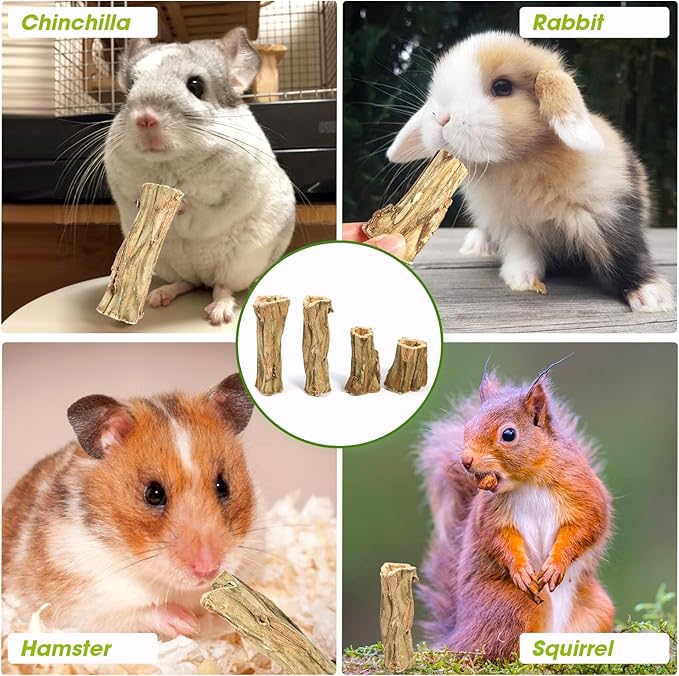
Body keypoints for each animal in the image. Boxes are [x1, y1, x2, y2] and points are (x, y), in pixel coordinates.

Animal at [2, 374, 260, 637]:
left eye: (223, 486)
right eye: (153, 494)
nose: (208, 569)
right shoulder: (83, 603)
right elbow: (140, 613)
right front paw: (187, 624)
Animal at [104, 28, 296, 325]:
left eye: (196, 86)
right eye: (131, 85)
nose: (145, 119)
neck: (169, 162)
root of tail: (203, 275)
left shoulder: (227, 190)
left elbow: (202, 205)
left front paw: (181, 204)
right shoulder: (121, 182)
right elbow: (133, 196)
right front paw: (143, 201)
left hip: (240, 263)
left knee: (222, 287)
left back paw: (219, 313)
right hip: (168, 264)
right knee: (188, 283)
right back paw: (159, 296)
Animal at [387, 31, 673, 312]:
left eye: (502, 87)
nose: (441, 118)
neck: (518, 163)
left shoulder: (606, 212)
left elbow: (624, 250)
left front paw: (651, 296)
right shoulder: (512, 225)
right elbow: (522, 250)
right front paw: (520, 278)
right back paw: (476, 245)